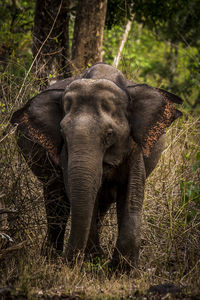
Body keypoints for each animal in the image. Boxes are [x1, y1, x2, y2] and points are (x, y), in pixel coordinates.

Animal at [10, 63, 183, 270]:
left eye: (109, 134)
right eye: (62, 132)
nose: (69, 262)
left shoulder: (136, 146)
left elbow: (132, 193)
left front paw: (121, 269)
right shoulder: (65, 153)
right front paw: (94, 262)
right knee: (56, 204)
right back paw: (52, 257)